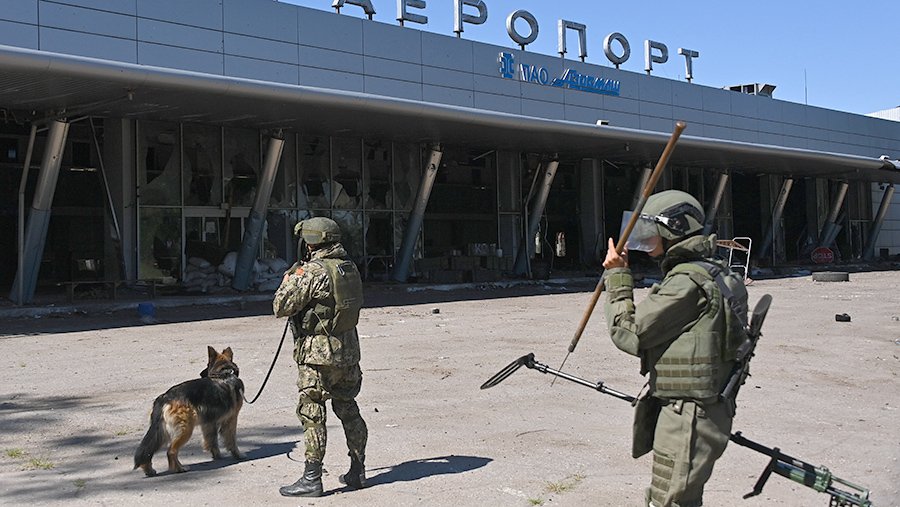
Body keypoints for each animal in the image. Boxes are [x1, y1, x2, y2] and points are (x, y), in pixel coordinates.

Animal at [134, 346, 245, 476]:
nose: (201, 373)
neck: (224, 373)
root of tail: (165, 397)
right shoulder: (231, 419)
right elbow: (231, 440)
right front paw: (238, 455)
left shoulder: (209, 423)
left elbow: (212, 441)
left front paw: (217, 455)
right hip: (185, 430)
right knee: (171, 451)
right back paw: (179, 468)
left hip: (161, 432)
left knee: (148, 451)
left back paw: (149, 470)